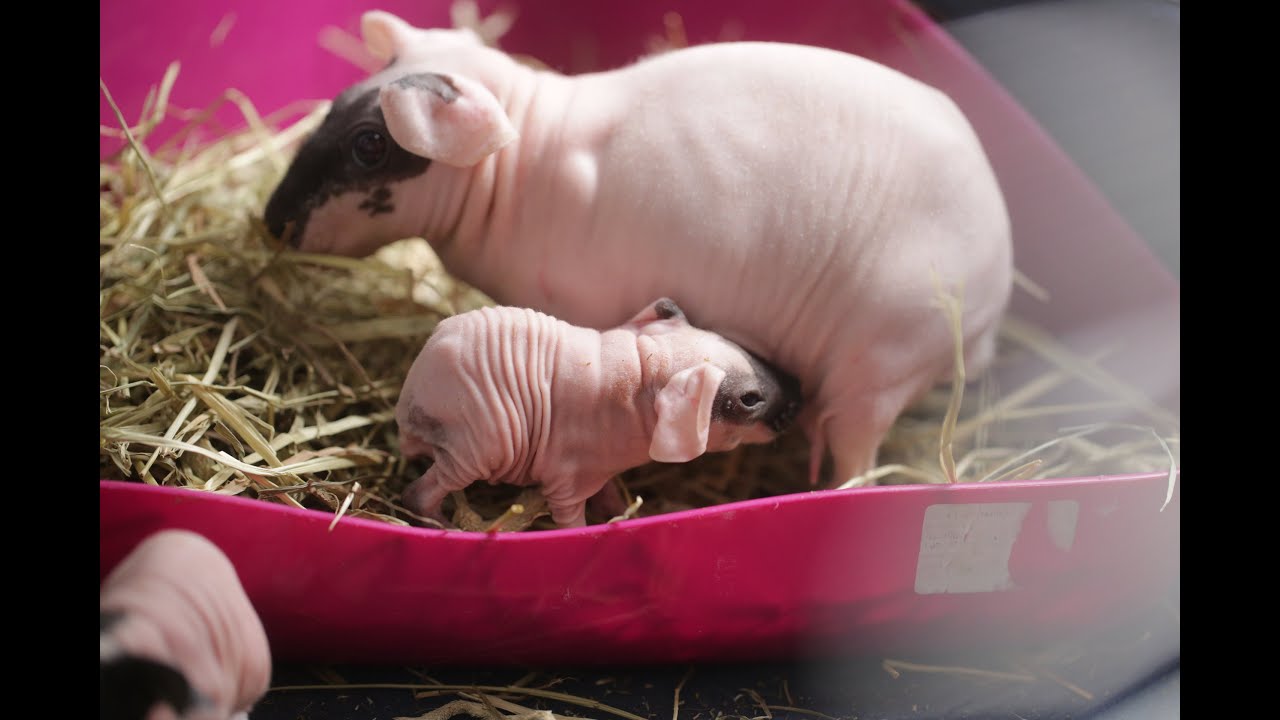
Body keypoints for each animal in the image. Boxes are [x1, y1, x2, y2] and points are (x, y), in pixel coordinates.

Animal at [265, 10, 1013, 486]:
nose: (271, 222)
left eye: (370, 145)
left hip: (878, 367)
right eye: (336, 103)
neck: (522, 162)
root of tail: (992, 295)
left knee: (855, 462)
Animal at [396, 298, 802, 528]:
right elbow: (571, 523)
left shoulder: (600, 469)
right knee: (418, 492)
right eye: (749, 400)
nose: (800, 395)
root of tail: (410, 399)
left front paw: (627, 514)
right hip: (479, 445)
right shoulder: (565, 480)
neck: (641, 370)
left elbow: (608, 496)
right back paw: (441, 524)